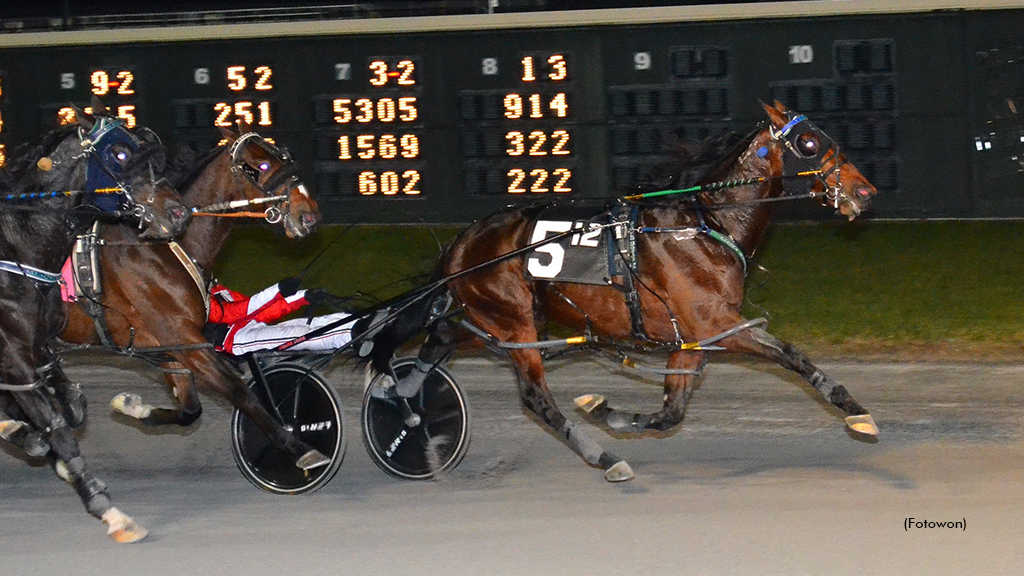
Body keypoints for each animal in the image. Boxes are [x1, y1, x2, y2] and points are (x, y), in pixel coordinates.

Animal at [0, 105, 190, 541]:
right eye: (119, 155)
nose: (178, 213)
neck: (15, 254)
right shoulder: (15, 358)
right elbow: (59, 428)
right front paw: (111, 513)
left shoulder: (40, 350)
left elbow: (73, 408)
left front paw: (28, 437)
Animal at [57, 120, 327, 471]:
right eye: (261, 165)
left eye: (284, 155)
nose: (309, 214)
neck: (160, 248)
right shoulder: (184, 339)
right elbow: (239, 391)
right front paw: (297, 446)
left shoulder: (173, 346)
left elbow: (189, 410)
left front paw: (132, 406)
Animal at [368, 101, 880, 479]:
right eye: (809, 143)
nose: (866, 192)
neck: (704, 227)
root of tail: (462, 242)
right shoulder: (716, 323)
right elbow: (791, 354)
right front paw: (857, 412)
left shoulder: (691, 338)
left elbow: (671, 410)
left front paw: (606, 411)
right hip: (512, 322)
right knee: (535, 398)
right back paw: (605, 458)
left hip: (506, 320)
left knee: (441, 338)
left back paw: (403, 398)